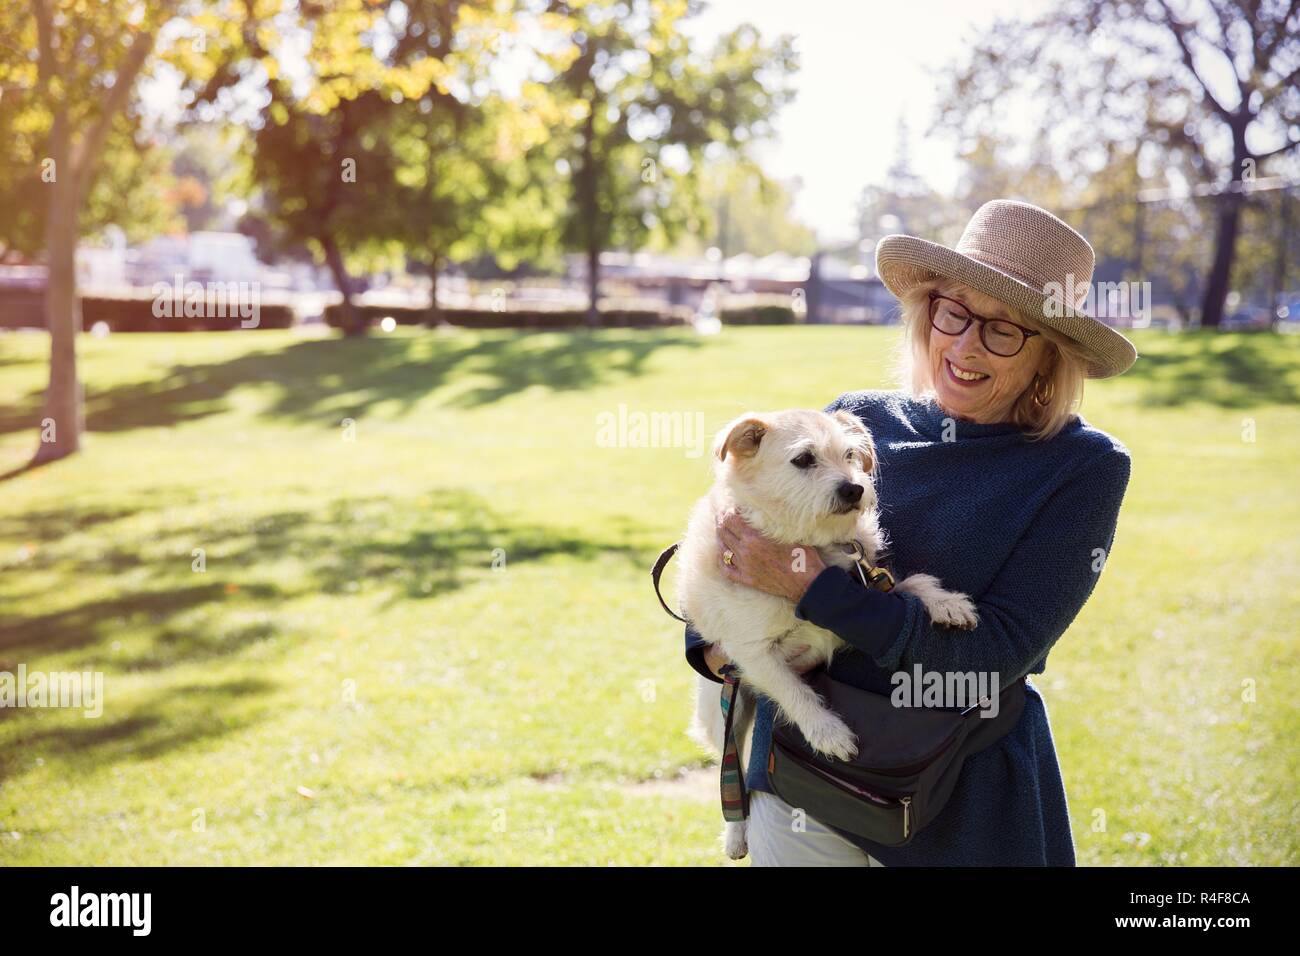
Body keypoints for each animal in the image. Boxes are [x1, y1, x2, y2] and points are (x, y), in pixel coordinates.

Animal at [681, 408, 977, 858]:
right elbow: (795, 692)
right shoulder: (753, 654)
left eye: (851, 455)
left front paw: (948, 603)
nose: (854, 488)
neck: (810, 544)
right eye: (804, 459)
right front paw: (828, 732)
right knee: (733, 774)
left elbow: (913, 584)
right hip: (725, 713)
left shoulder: (869, 585)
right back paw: (735, 833)